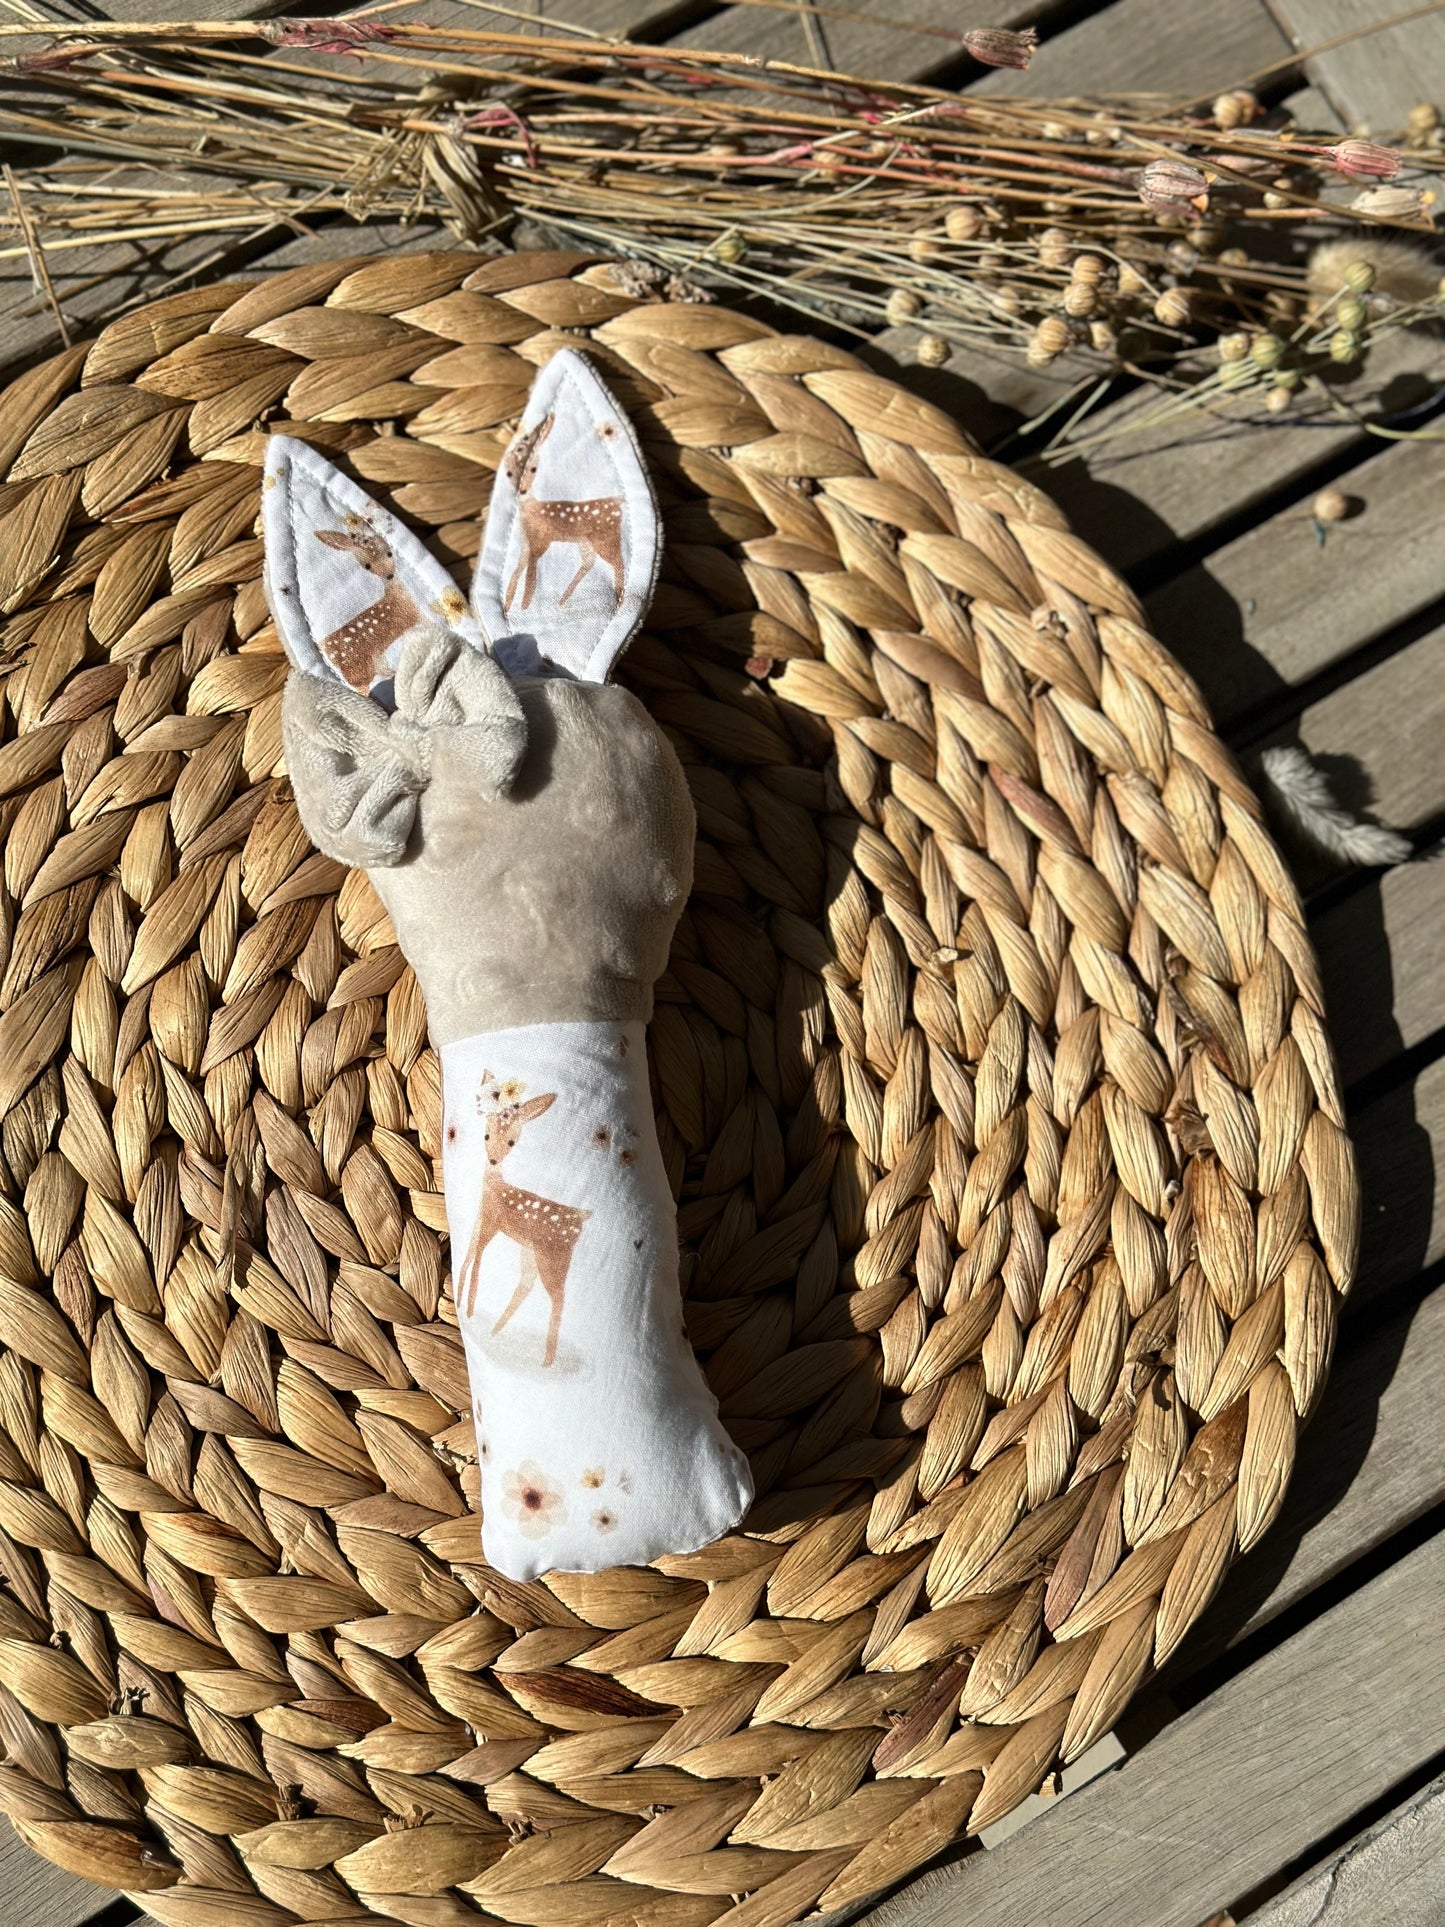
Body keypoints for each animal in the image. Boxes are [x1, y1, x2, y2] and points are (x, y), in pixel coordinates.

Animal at [456, 1080, 590, 1368]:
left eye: (511, 1142)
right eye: (486, 1136)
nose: (494, 1159)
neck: (494, 1185)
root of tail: (584, 1215)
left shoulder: (491, 1223)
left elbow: (478, 1259)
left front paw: (469, 1308)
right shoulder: (479, 1219)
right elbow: (468, 1255)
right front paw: (462, 1302)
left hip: (553, 1256)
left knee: (558, 1298)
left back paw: (547, 1361)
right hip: (529, 1251)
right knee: (527, 1285)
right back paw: (496, 1332)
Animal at [502, 413, 625, 617]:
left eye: (534, 469)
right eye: (508, 472)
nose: (522, 489)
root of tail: (618, 500)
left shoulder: (540, 540)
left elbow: (530, 572)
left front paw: (524, 607)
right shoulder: (525, 542)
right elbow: (517, 570)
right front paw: (508, 605)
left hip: (605, 538)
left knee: (617, 563)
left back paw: (618, 600)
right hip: (585, 541)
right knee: (589, 562)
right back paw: (562, 601)